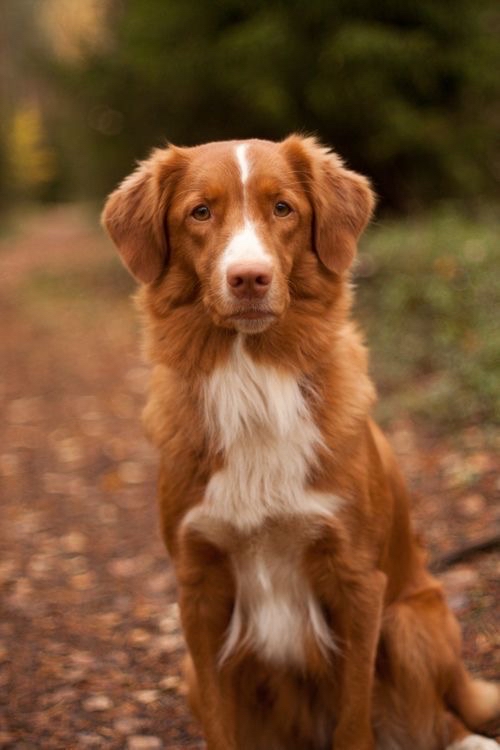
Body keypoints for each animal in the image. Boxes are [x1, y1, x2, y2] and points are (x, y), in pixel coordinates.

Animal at [102, 137, 500, 750]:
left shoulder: (358, 581)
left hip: (411, 621)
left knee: (439, 719)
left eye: (283, 208)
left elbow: (355, 720)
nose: (249, 278)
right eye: (200, 212)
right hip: (193, 669)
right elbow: (219, 722)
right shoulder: (197, 589)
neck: (253, 378)